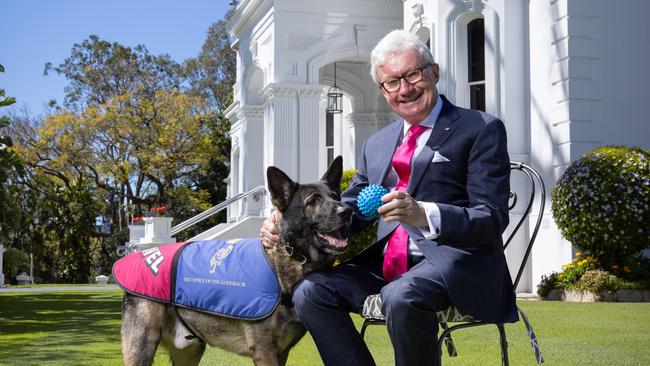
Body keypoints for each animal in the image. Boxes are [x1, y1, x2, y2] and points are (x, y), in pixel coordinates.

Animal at [118, 156, 346, 364]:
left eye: (336, 196)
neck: (286, 258)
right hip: (142, 347)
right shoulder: (265, 351)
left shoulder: (281, 353)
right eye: (312, 201)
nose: (347, 210)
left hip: (189, 352)